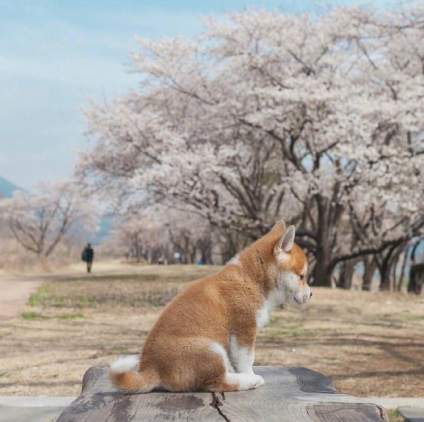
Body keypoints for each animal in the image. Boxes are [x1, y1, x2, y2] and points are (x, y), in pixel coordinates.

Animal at [110, 221, 312, 392]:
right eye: (302, 276)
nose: (311, 294)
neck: (252, 279)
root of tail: (151, 369)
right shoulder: (244, 330)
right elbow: (247, 359)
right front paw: (249, 374)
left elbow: (238, 360)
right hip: (210, 349)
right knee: (216, 383)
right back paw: (249, 381)